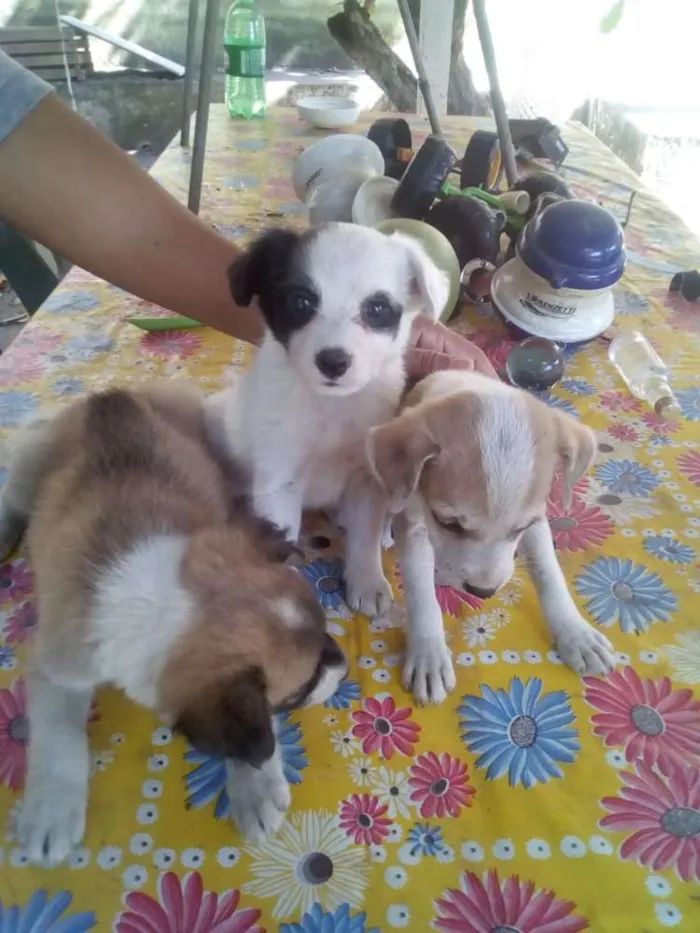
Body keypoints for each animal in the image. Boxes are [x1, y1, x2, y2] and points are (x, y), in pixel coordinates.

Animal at [0, 382, 348, 864]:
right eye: (300, 688)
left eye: (324, 628)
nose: (344, 665)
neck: (158, 599)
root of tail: (109, 396)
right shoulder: (59, 666)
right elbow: (57, 735)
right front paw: (51, 806)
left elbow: (257, 730)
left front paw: (255, 783)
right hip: (25, 473)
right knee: (11, 500)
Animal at [208, 218, 448, 612]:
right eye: (300, 302)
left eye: (376, 309)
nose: (333, 362)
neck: (331, 406)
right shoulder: (280, 482)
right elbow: (283, 542)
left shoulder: (367, 480)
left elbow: (365, 537)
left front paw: (367, 581)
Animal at [370, 368, 616, 704]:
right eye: (448, 523)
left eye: (520, 528)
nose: (483, 592)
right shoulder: (415, 523)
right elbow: (422, 595)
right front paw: (429, 655)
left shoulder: (537, 520)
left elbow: (549, 572)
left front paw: (575, 632)